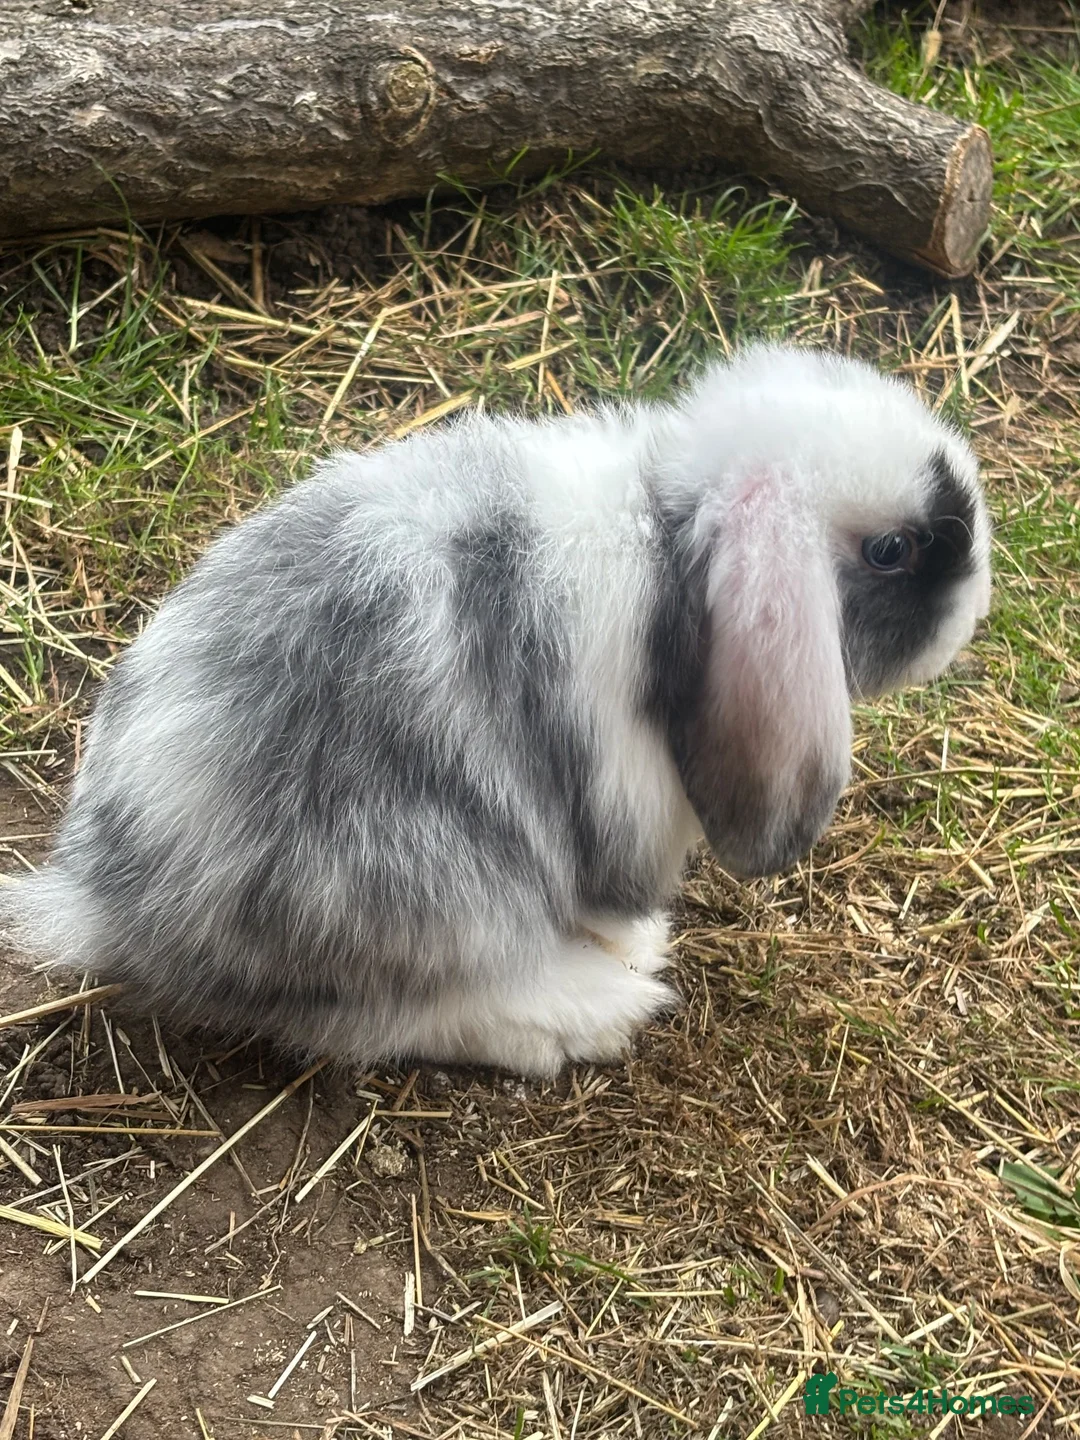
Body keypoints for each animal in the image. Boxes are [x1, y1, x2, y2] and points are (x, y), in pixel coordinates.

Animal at [0, 344, 991, 1077]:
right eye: (894, 550)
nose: (978, 604)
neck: (668, 548)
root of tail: (113, 901)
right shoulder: (619, 798)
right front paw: (636, 942)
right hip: (435, 890)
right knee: (385, 1019)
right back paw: (591, 1007)